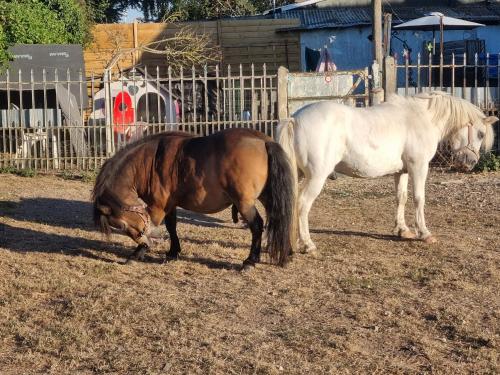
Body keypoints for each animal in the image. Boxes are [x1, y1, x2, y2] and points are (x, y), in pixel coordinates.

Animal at [93, 129, 296, 270]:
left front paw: (137, 253)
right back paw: (287, 252)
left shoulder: (157, 206)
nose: (148, 242)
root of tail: (263, 141)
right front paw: (173, 251)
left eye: (119, 225)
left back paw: (250, 260)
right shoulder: (170, 205)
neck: (150, 161)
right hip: (268, 197)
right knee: (280, 218)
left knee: (257, 226)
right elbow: (171, 226)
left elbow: (155, 224)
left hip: (244, 202)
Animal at [278, 92, 496, 254]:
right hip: (316, 177)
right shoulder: (419, 167)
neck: (422, 118)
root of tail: (295, 119)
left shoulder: (402, 171)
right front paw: (424, 233)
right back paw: (308, 244)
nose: (470, 163)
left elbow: (402, 197)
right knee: (302, 204)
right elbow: (419, 198)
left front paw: (402, 230)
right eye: (480, 134)